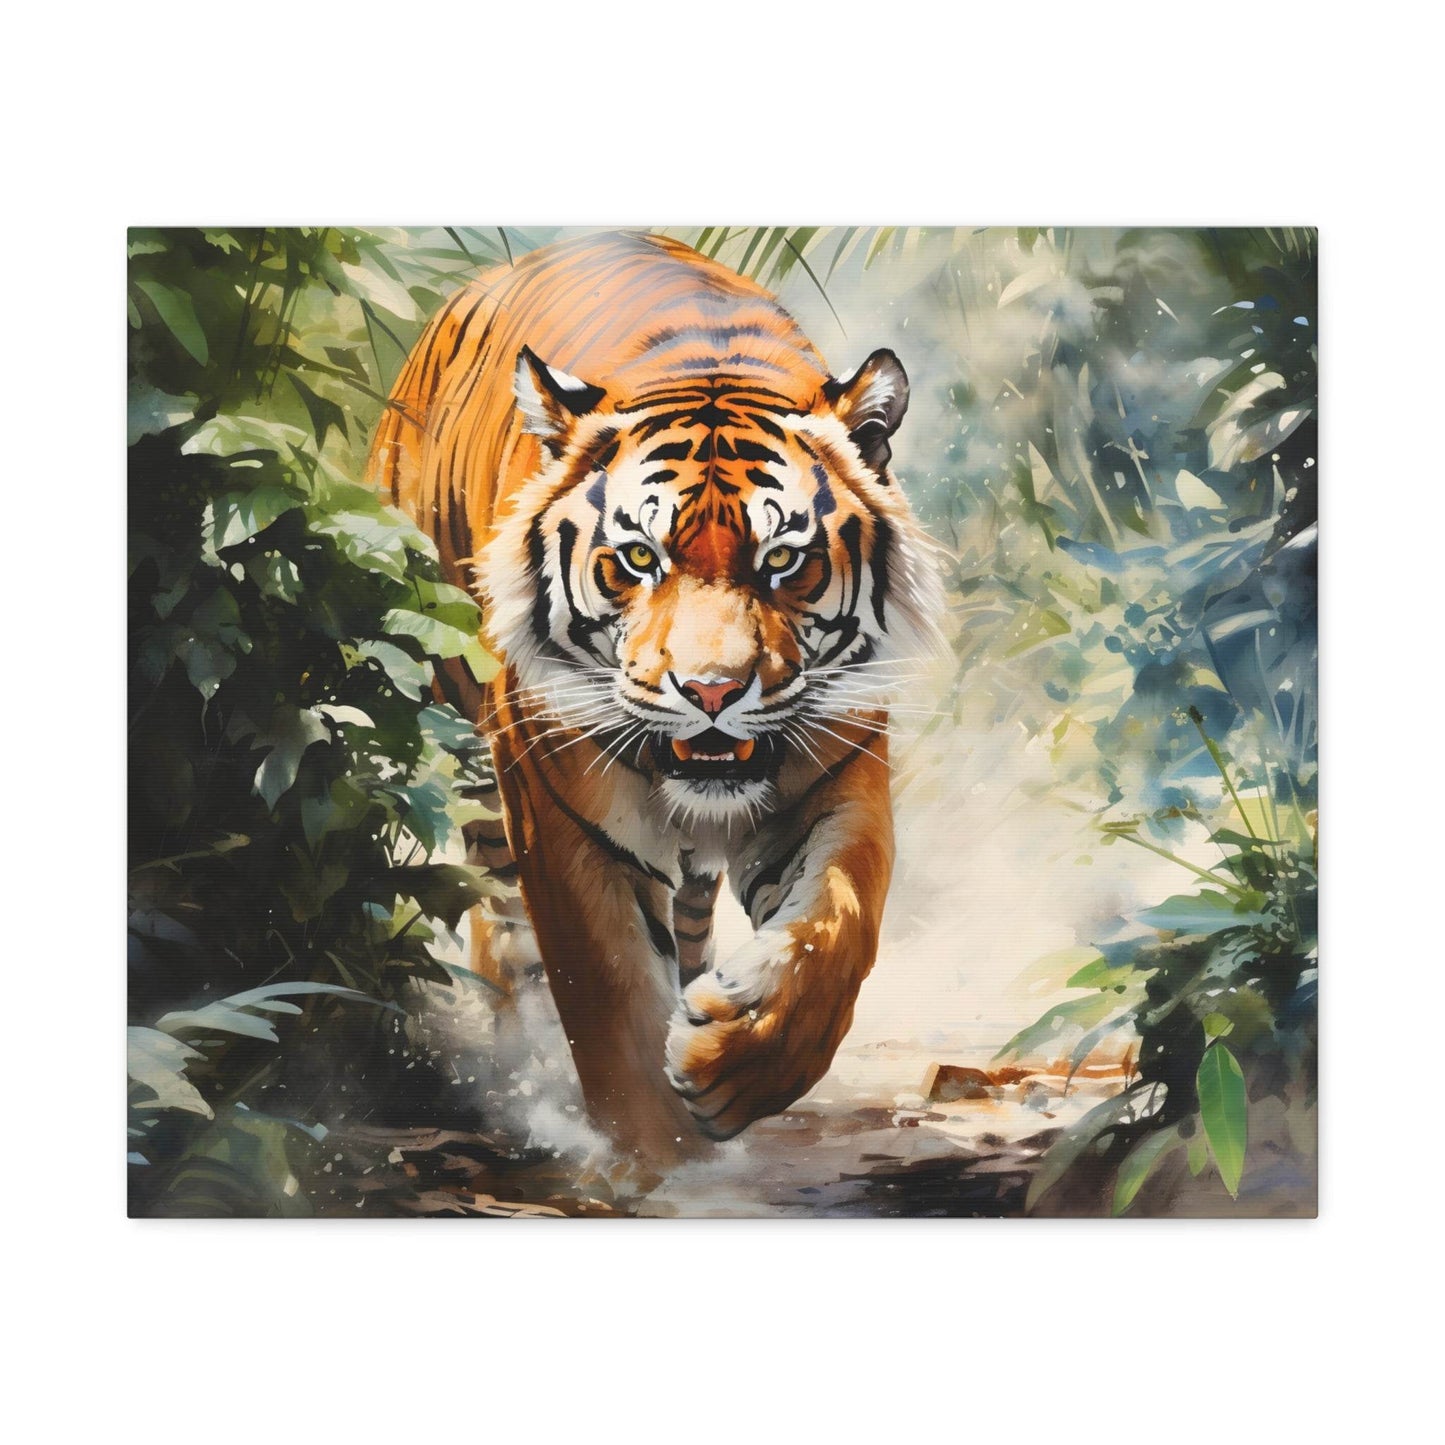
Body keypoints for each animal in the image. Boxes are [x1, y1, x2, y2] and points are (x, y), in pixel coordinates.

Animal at [369, 231, 943, 1164]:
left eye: (782, 560)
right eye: (639, 558)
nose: (711, 690)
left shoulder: (835, 775)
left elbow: (837, 926)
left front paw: (730, 1061)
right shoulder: (562, 816)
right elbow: (607, 1000)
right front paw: (659, 1160)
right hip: (461, 738)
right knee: (502, 931)